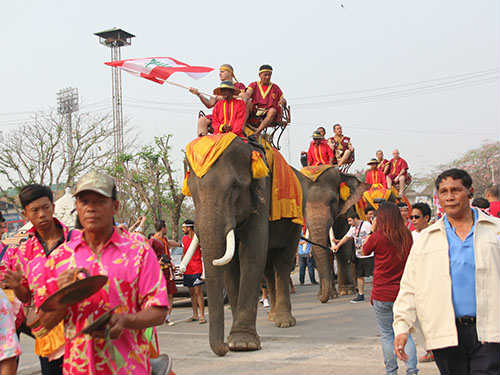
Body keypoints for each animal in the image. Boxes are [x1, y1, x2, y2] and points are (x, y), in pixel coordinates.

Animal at [182, 137, 302, 356]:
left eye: (234, 188)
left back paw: (284, 322)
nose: (223, 348)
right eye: (192, 192)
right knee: (269, 266)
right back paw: (272, 317)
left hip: (295, 219)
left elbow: (252, 253)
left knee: (283, 260)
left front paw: (242, 344)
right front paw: (233, 341)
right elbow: (230, 265)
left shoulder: (261, 195)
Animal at [294, 167, 370, 306]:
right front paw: (328, 295)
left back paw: (353, 288)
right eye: (302, 204)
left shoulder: (346, 211)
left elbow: (344, 243)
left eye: (333, 201)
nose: (321, 300)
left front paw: (345, 292)